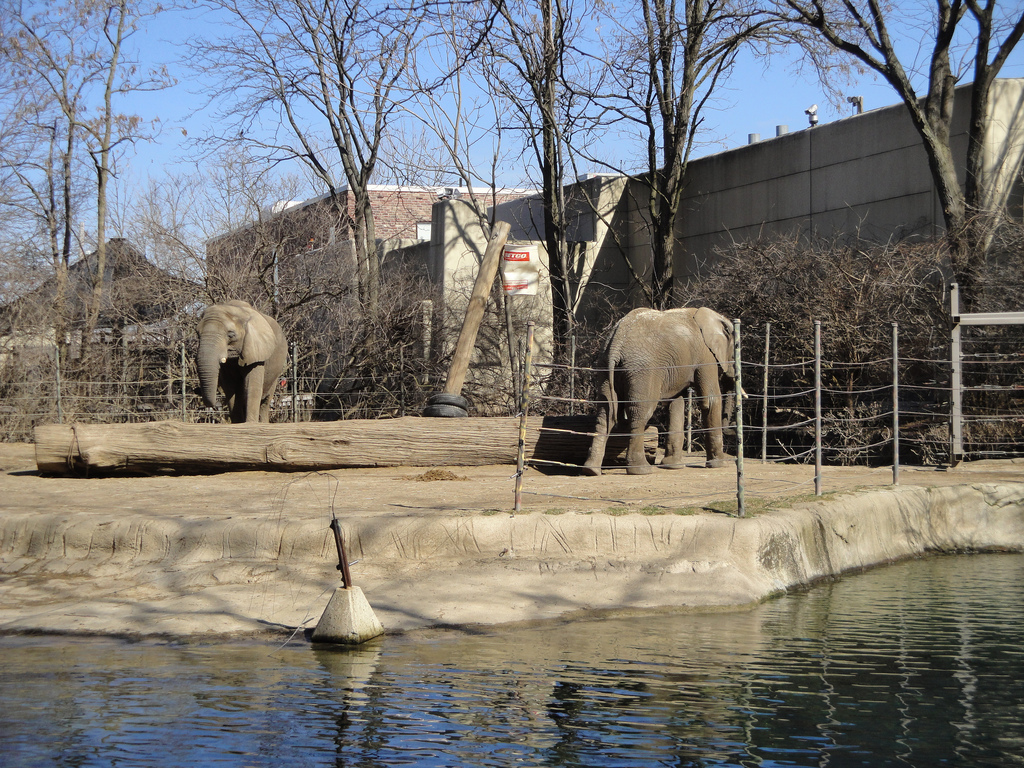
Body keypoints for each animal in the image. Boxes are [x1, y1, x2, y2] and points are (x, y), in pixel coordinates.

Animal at [582, 307, 738, 475]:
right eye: (734, 354)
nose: (733, 425)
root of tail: (616, 343)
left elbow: (675, 403)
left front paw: (672, 466)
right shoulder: (706, 355)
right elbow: (710, 400)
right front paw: (720, 465)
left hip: (604, 367)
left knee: (606, 412)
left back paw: (591, 470)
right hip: (643, 370)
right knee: (640, 412)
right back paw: (641, 470)